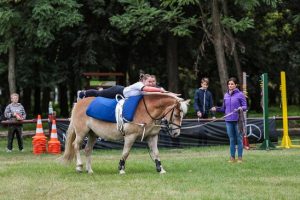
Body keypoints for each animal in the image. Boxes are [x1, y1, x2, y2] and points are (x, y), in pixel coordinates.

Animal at [62, 93, 190, 174]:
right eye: (176, 115)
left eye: (182, 115)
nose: (176, 133)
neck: (146, 111)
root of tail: (78, 103)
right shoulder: (130, 137)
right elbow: (126, 153)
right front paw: (121, 168)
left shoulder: (152, 137)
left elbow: (156, 153)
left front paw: (160, 169)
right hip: (81, 132)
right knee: (76, 145)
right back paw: (79, 166)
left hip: (92, 134)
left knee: (88, 149)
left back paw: (89, 170)